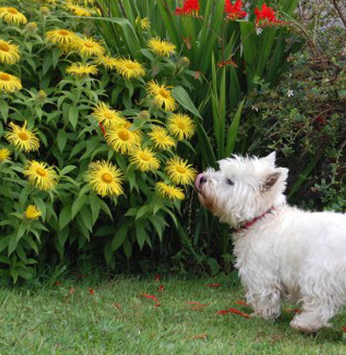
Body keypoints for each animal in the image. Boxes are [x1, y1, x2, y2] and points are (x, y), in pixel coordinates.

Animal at [196, 152, 346, 334]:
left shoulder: (260, 271)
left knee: (320, 304)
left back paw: (303, 324)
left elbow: (263, 295)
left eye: (230, 181)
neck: (261, 219)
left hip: (318, 272)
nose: (202, 178)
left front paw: (261, 315)